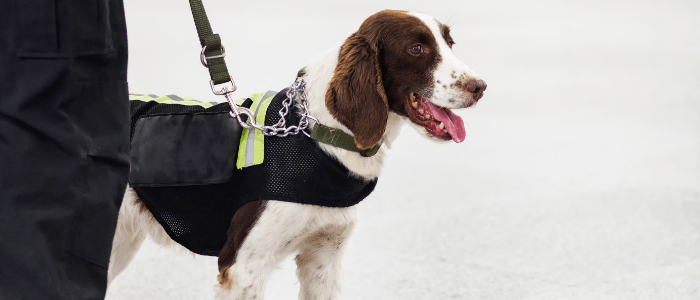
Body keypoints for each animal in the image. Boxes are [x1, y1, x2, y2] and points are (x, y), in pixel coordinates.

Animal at [108, 9, 486, 300]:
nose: (480, 86)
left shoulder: (324, 255)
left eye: (450, 44)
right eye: (417, 48)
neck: (317, 136)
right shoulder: (243, 267)